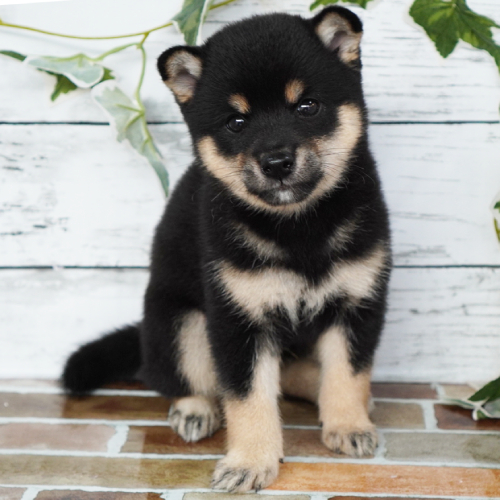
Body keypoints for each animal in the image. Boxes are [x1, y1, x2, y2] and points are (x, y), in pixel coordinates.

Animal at [61, 5, 390, 492]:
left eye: (307, 106)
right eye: (237, 122)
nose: (276, 163)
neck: (297, 229)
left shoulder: (356, 303)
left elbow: (347, 375)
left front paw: (347, 424)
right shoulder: (237, 319)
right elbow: (249, 398)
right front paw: (250, 462)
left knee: (297, 373)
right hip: (182, 324)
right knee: (179, 378)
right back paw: (194, 410)